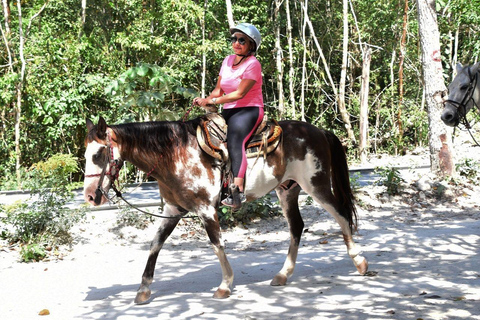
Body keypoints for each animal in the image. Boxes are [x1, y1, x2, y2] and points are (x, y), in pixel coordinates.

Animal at [83, 116, 368, 304]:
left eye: (98, 154)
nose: (90, 197)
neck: (175, 155)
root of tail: (319, 131)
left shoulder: (206, 210)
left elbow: (216, 245)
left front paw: (225, 285)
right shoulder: (174, 210)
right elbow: (155, 245)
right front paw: (143, 289)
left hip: (316, 185)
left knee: (341, 214)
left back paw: (360, 262)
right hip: (287, 190)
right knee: (297, 226)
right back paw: (282, 274)